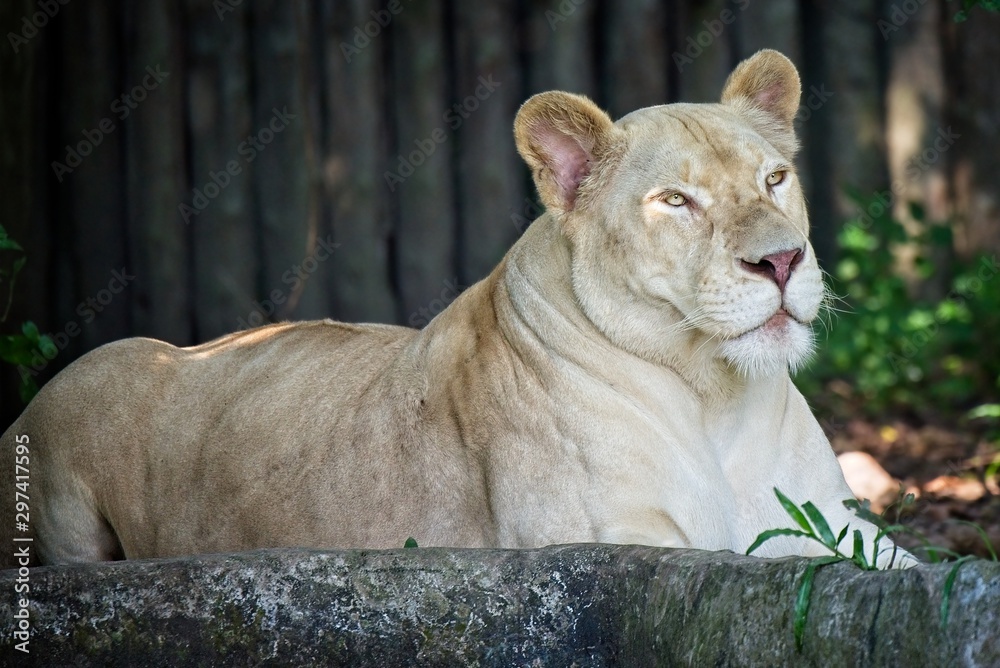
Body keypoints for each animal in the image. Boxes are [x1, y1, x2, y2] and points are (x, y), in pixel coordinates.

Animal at [0, 49, 913, 569]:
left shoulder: (854, 536)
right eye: (676, 202)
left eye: (774, 179)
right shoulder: (605, 542)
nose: (782, 261)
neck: (717, 400)